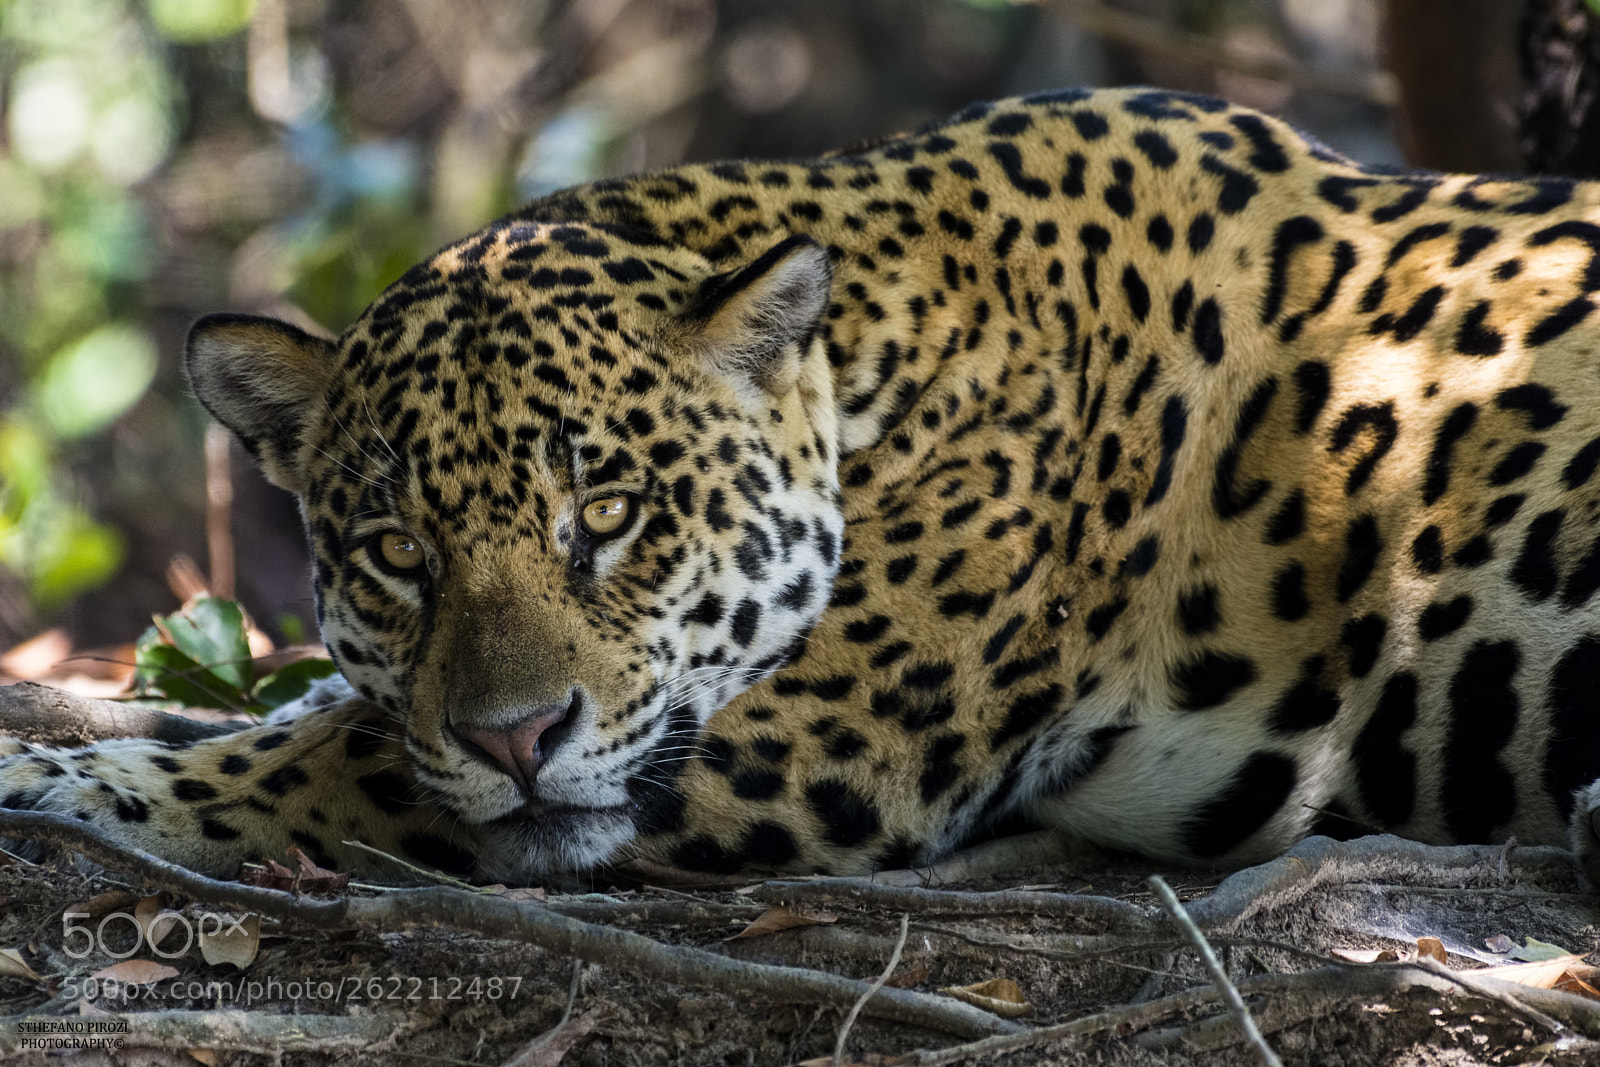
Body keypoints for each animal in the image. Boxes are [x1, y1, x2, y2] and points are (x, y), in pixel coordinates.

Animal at [6, 86, 1600, 889]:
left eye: (610, 516)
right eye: (399, 551)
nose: (517, 738)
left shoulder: (813, 733)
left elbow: (331, 756)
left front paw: (64, 778)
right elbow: (337, 711)